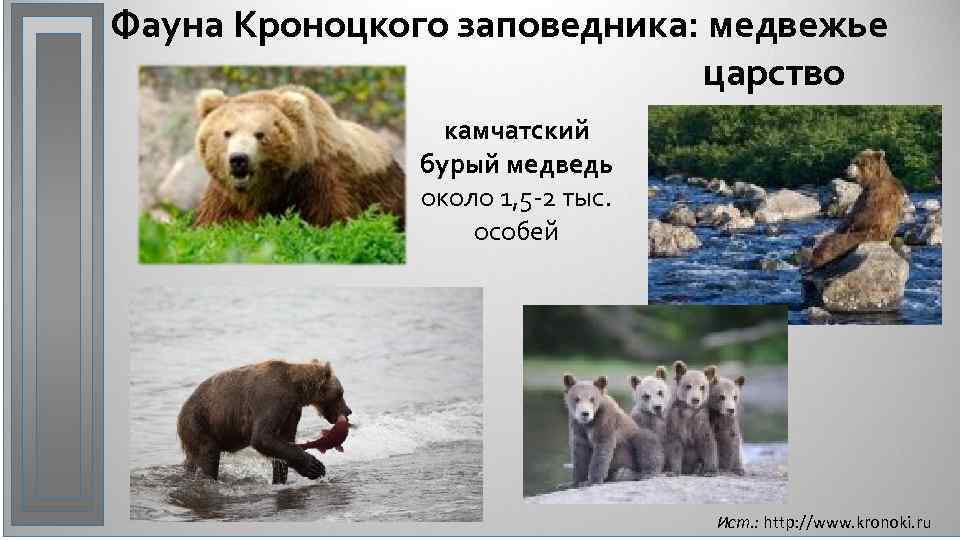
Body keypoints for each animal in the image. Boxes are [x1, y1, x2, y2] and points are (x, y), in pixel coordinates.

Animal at [176, 359, 352, 484]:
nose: (348, 411)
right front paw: (314, 466)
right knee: (208, 455)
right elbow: (262, 437)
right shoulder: (272, 400)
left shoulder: (291, 411)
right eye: (341, 393)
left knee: (193, 461)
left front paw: (280, 479)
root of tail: (181, 412)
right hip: (200, 422)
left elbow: (284, 442)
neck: (296, 390)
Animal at [191, 85, 405, 230]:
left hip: (387, 192)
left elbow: (331, 220)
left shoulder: (319, 181)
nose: (239, 159)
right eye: (227, 133)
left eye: (260, 134)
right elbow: (214, 223)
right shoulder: (224, 196)